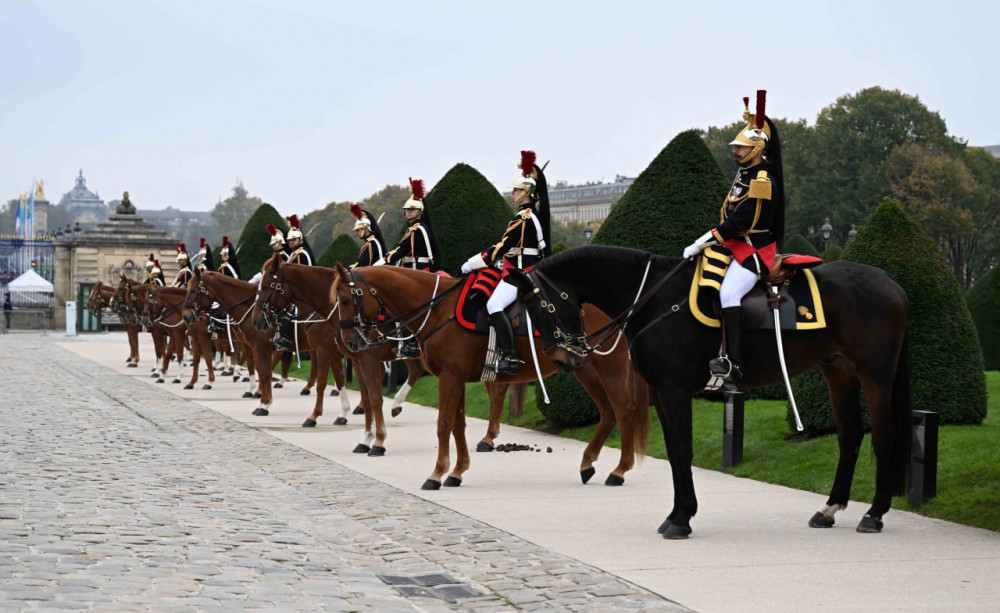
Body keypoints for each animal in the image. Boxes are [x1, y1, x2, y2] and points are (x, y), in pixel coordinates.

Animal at [332, 262, 652, 488]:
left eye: (346, 299)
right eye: (337, 300)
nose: (350, 341)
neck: (438, 310)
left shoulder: (450, 377)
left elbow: (443, 424)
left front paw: (436, 473)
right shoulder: (457, 378)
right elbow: (457, 425)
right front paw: (457, 472)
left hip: (609, 366)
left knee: (624, 410)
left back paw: (619, 470)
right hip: (582, 367)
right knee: (608, 412)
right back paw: (588, 464)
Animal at [508, 246, 916, 536]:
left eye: (536, 305)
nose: (560, 358)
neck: (653, 300)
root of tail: (890, 281)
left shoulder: (675, 390)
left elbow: (682, 450)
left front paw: (681, 519)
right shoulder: (660, 393)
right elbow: (675, 452)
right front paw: (677, 513)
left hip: (875, 375)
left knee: (883, 434)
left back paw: (874, 513)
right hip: (837, 371)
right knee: (850, 435)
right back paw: (830, 508)